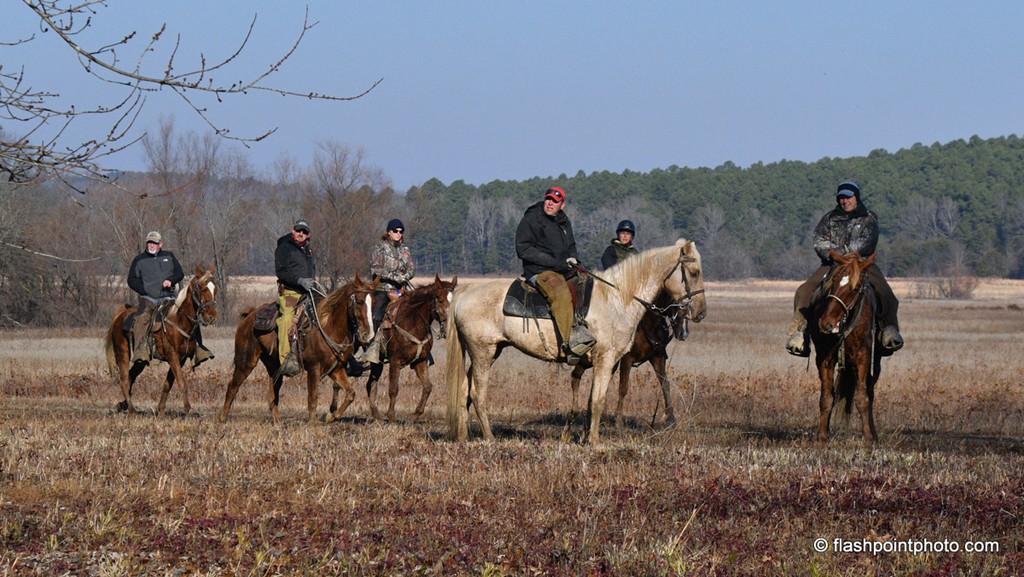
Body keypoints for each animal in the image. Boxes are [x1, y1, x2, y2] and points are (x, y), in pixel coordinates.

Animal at [104, 266, 218, 416]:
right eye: (202, 288)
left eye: (215, 289)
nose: (211, 317)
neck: (178, 321)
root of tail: (120, 316)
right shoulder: (172, 356)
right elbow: (181, 382)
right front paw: (187, 409)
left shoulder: (180, 359)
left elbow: (168, 383)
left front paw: (161, 409)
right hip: (122, 353)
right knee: (124, 380)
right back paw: (131, 409)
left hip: (141, 360)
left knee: (131, 376)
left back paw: (122, 405)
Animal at [218, 275, 377, 426]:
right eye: (360, 301)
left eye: (374, 303)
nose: (367, 335)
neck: (328, 326)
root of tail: (249, 316)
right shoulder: (313, 368)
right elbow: (312, 399)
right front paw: (313, 424)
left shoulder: (336, 369)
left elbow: (350, 394)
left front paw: (330, 417)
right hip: (246, 362)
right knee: (232, 387)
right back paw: (222, 419)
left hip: (274, 367)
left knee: (271, 396)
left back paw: (279, 424)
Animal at [361, 275, 458, 423]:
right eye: (440, 299)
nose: (449, 327)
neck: (412, 322)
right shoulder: (395, 361)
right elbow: (393, 389)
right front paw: (391, 417)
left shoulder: (420, 361)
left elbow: (427, 387)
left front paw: (416, 414)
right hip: (376, 361)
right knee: (371, 383)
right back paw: (377, 415)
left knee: (371, 383)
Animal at [569, 290, 689, 429]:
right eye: (674, 299)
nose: (684, 333)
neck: (649, 323)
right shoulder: (627, 359)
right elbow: (623, 388)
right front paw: (619, 421)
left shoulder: (658, 358)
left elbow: (665, 385)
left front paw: (671, 420)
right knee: (576, 375)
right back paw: (575, 413)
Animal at [810, 250, 883, 445]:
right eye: (833, 280)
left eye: (855, 288)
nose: (825, 323)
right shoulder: (824, 358)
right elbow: (827, 397)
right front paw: (822, 435)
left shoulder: (863, 357)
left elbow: (862, 398)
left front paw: (868, 438)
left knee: (870, 390)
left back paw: (873, 433)